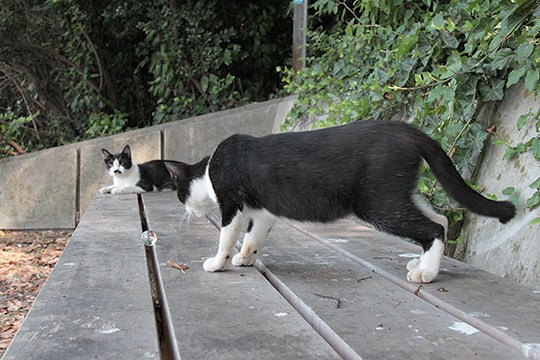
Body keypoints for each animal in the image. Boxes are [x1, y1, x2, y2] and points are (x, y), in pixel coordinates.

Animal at [163, 121, 516, 284]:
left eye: (179, 192)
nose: (185, 209)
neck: (210, 168)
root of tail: (406, 128)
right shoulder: (263, 213)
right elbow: (253, 237)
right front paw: (246, 258)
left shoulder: (232, 203)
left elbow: (227, 237)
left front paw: (218, 263)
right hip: (397, 193)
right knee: (439, 219)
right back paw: (421, 263)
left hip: (378, 204)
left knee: (433, 228)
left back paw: (426, 273)